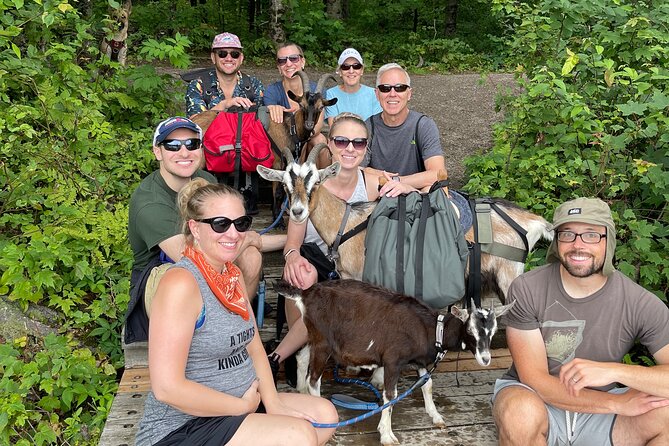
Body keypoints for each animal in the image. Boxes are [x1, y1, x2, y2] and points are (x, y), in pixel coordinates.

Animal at [258, 145, 552, 304]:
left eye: (315, 182)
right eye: (285, 185)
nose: (297, 212)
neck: (347, 221)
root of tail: (532, 221)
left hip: (509, 275)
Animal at [274, 280, 516, 444]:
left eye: (493, 331)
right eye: (471, 330)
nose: (485, 358)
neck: (429, 329)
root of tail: (305, 294)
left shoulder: (419, 361)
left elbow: (427, 385)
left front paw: (436, 416)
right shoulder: (392, 361)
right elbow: (390, 396)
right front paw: (387, 435)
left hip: (315, 338)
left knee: (302, 358)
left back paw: (303, 396)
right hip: (323, 344)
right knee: (314, 379)